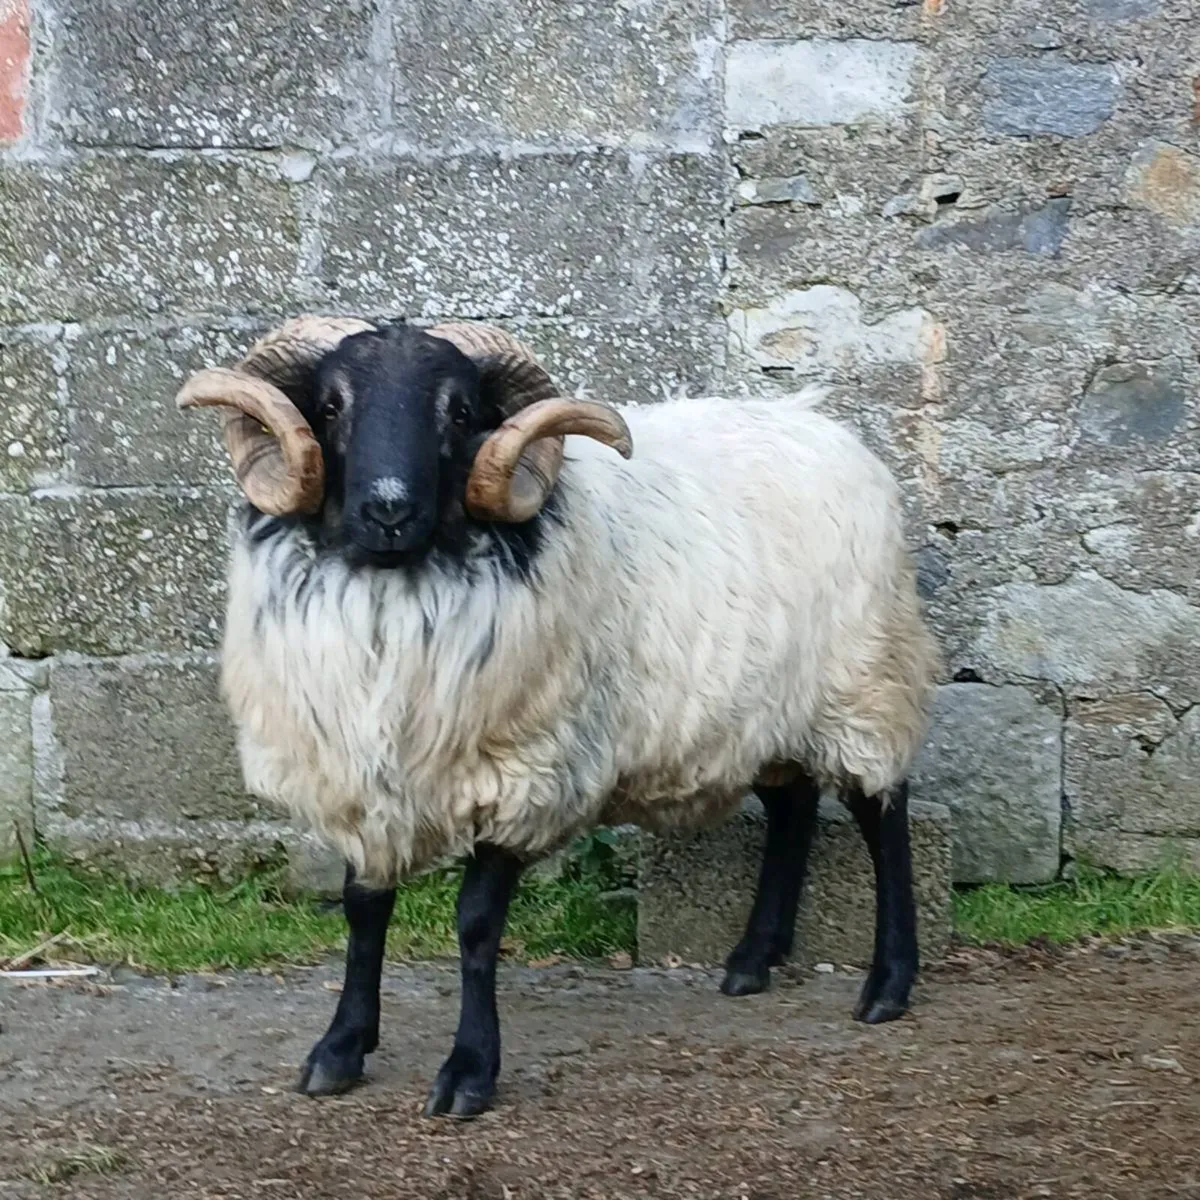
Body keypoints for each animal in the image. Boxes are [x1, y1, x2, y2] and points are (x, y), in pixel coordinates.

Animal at [174, 315, 940, 1119]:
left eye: (460, 412)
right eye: (329, 406)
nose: (388, 510)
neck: (404, 589)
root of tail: (824, 425)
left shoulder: (524, 767)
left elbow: (477, 924)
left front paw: (469, 1071)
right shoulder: (361, 775)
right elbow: (363, 911)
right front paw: (340, 1047)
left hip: (863, 684)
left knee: (882, 811)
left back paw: (888, 984)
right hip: (762, 711)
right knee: (792, 808)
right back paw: (752, 961)